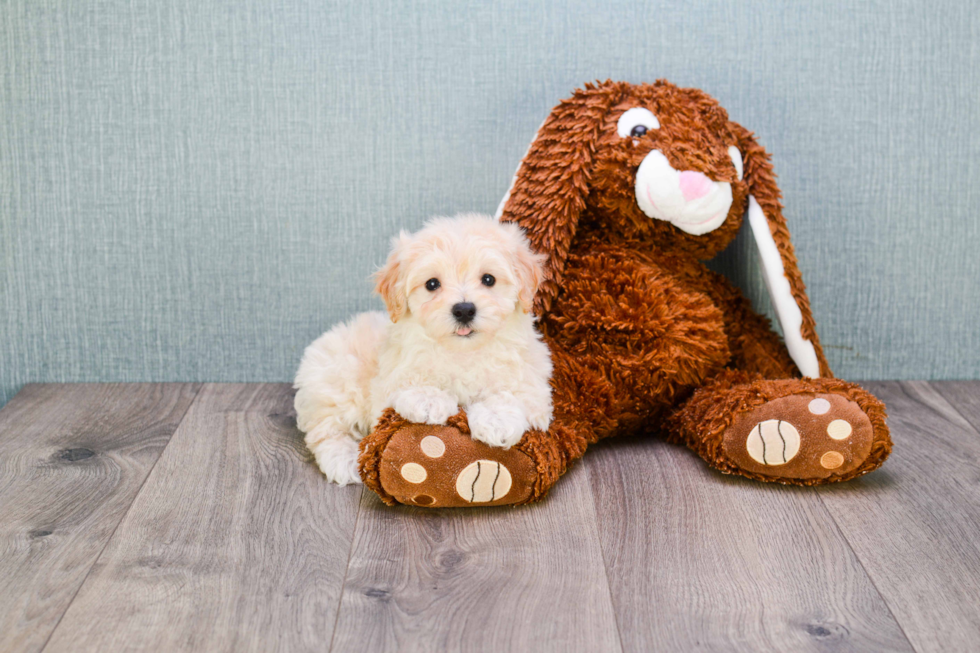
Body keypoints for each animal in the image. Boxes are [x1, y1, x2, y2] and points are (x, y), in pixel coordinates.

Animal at [292, 214, 552, 484]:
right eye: (432, 284)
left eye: (488, 279)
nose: (464, 310)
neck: (463, 353)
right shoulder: (389, 380)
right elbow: (408, 384)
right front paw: (430, 400)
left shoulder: (533, 381)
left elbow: (512, 394)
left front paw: (496, 420)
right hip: (336, 384)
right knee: (325, 430)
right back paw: (344, 460)